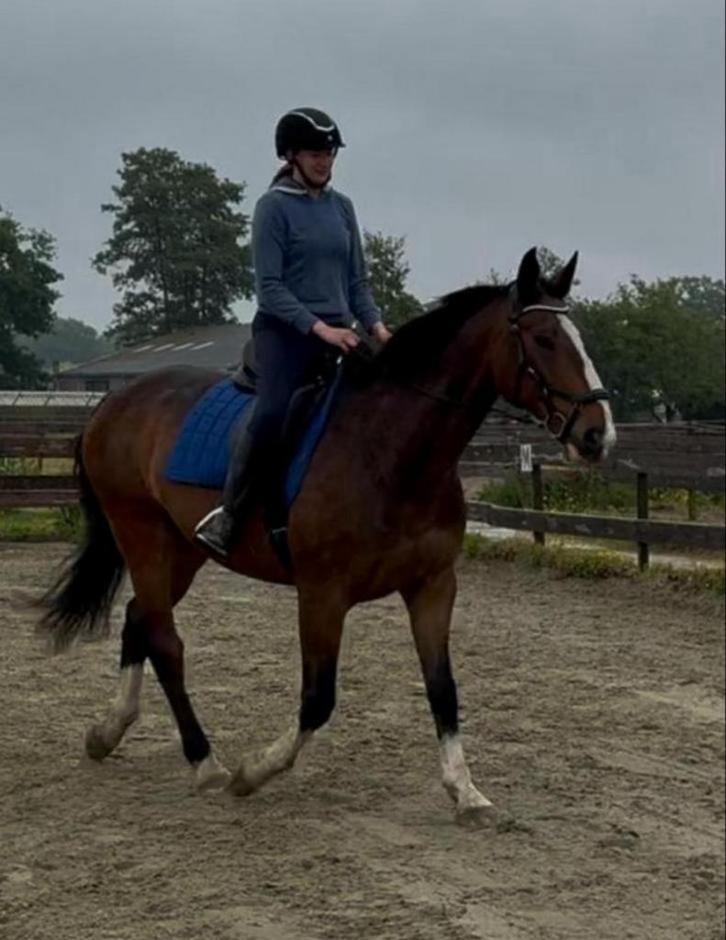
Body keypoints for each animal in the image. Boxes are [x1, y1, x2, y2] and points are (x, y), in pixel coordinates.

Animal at [39, 247, 615, 819]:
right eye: (543, 338)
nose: (598, 435)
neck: (390, 453)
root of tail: (115, 403)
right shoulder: (322, 593)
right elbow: (318, 699)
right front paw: (254, 771)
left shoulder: (433, 585)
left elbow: (442, 687)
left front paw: (465, 790)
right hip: (143, 536)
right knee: (165, 640)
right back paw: (206, 763)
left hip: (181, 550)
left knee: (139, 618)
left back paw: (108, 732)